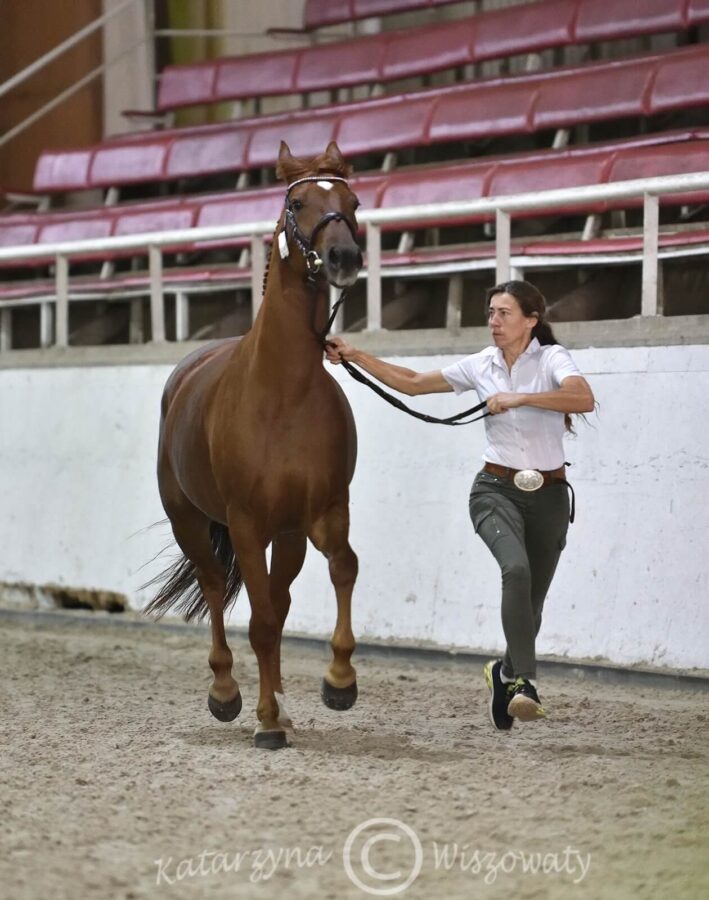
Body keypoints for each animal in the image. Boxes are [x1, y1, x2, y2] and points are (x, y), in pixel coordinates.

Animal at [147, 141, 362, 748]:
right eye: (297, 202)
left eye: (353, 203)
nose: (343, 256)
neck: (284, 392)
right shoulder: (244, 521)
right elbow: (259, 620)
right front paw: (265, 719)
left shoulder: (321, 512)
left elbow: (343, 568)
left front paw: (339, 681)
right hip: (191, 522)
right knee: (217, 588)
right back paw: (229, 693)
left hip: (283, 535)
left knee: (278, 600)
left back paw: (281, 699)